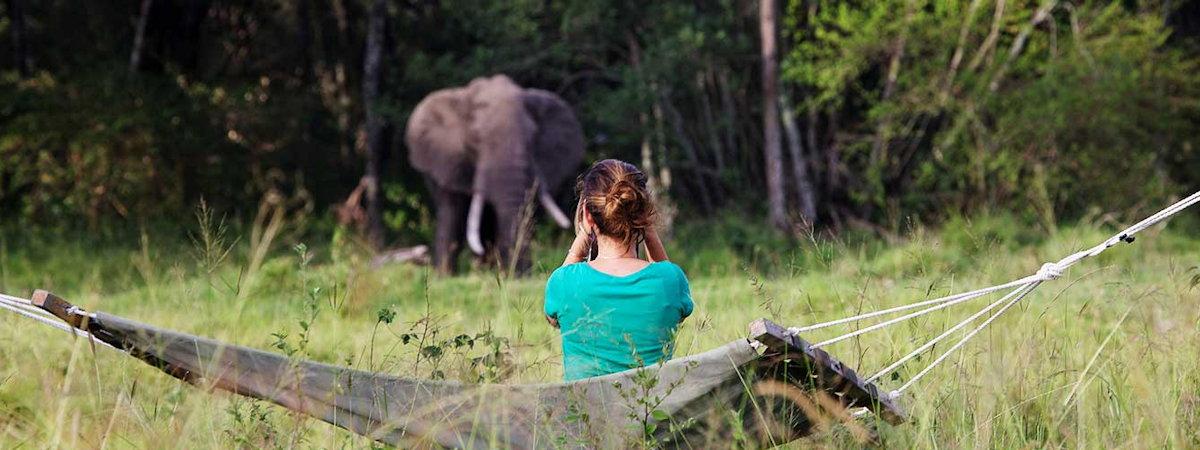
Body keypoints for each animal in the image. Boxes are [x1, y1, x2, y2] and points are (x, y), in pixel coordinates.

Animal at [408, 75, 585, 274]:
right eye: (475, 138)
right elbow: (452, 212)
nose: (519, 275)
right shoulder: (449, 160)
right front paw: (445, 276)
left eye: (533, 137)